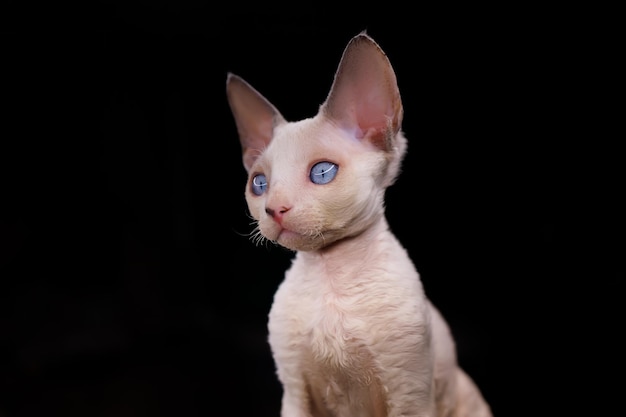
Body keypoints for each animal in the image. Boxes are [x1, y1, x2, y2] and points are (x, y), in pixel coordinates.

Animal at [225, 32, 492, 416]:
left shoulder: (409, 394)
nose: (274, 209)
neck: (329, 272)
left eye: (322, 173)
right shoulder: (294, 392)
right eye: (259, 184)